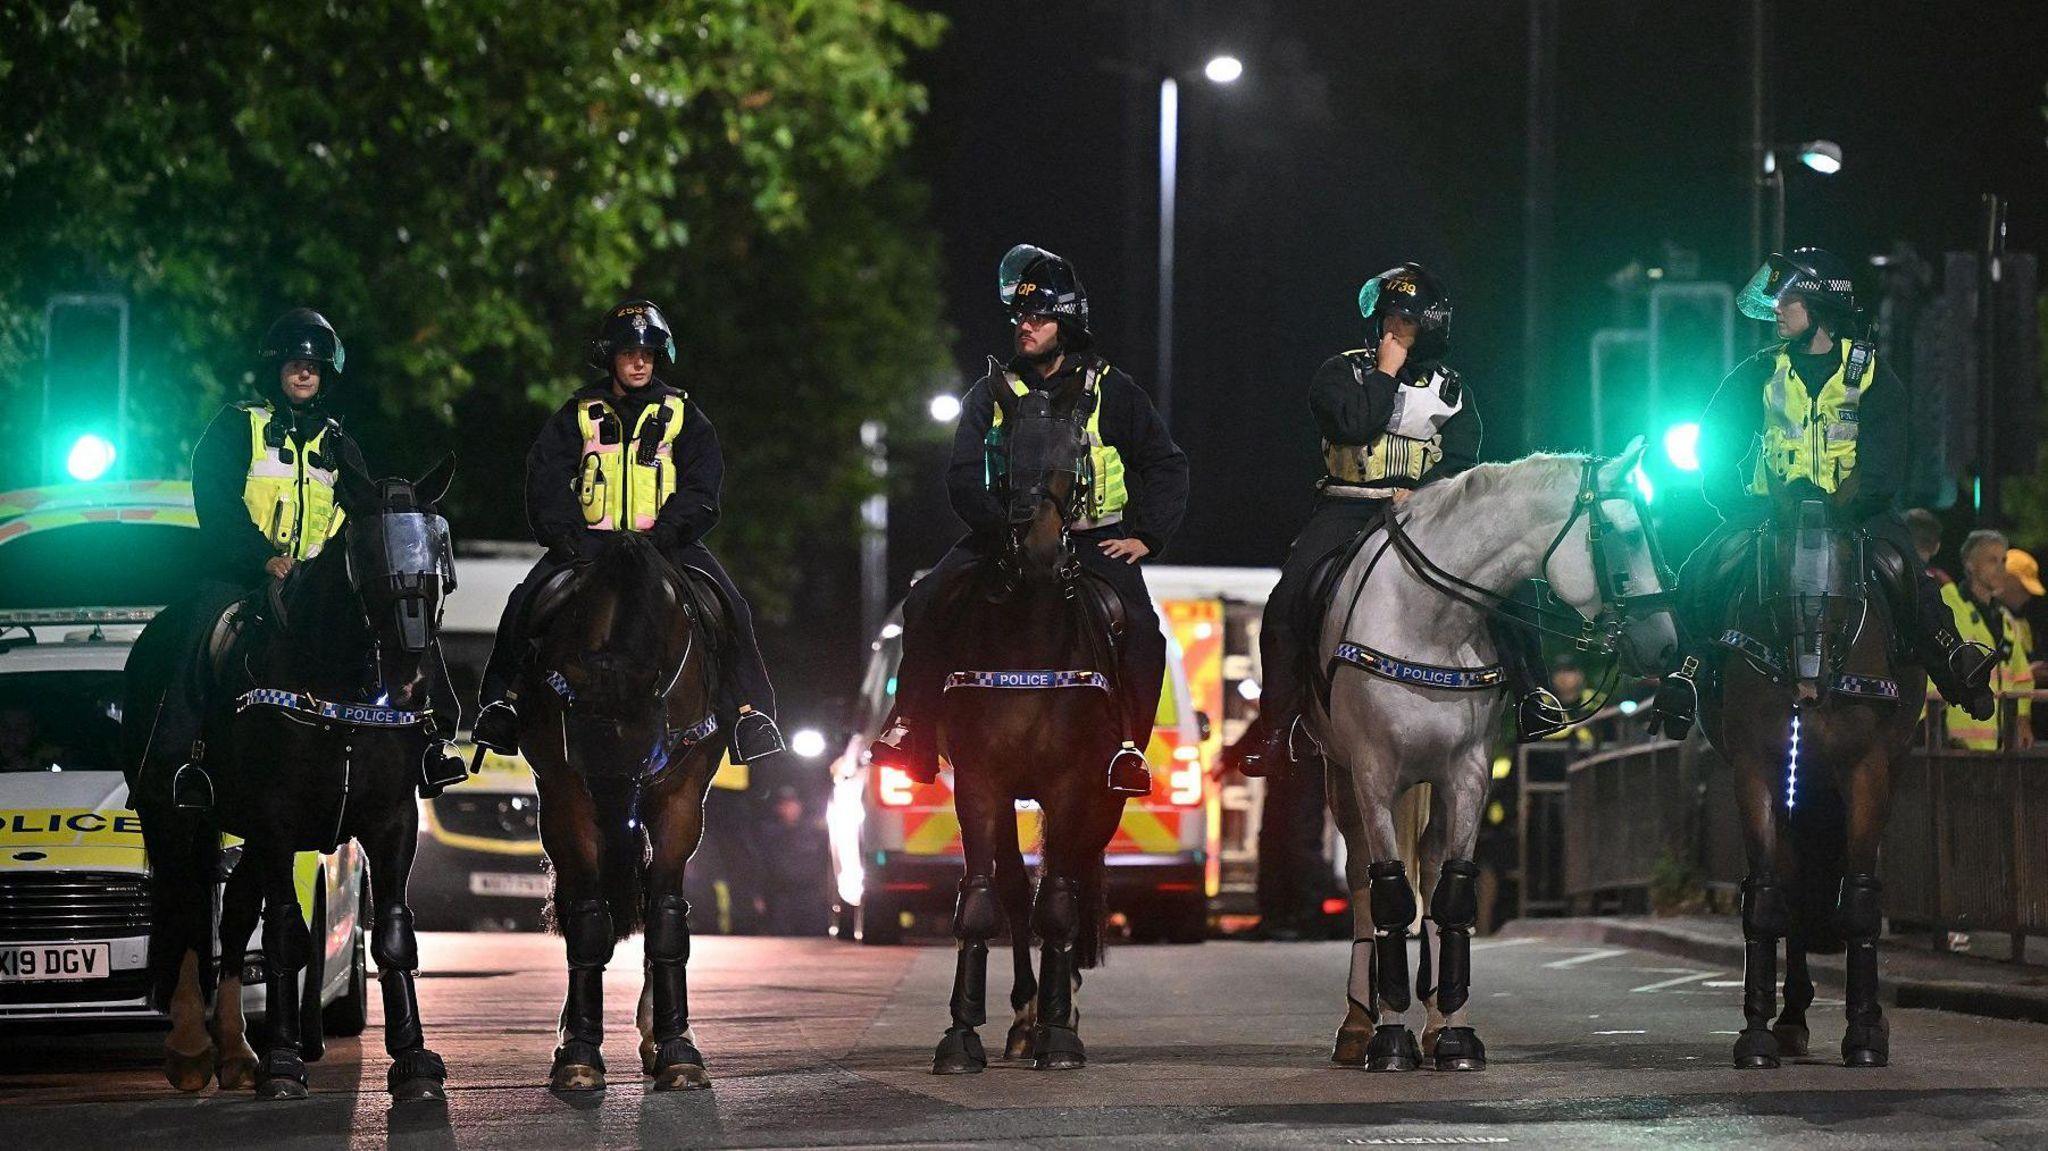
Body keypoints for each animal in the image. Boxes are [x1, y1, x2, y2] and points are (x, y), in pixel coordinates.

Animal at [123, 454, 460, 1089]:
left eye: (438, 555)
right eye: (367, 553)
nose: (412, 671)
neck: (340, 688)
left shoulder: (392, 820)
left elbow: (393, 935)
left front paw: (412, 1057)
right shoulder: (277, 823)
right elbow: (284, 935)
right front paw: (283, 1059)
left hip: (243, 835)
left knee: (231, 919)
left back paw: (235, 1049)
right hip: (172, 817)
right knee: (184, 909)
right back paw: (192, 1047)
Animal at [516, 528, 733, 1081]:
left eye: (644, 757)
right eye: (583, 758)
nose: (618, 833)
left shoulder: (679, 798)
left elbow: (665, 917)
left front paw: (676, 1045)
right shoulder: (567, 794)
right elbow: (590, 921)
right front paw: (578, 1049)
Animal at [917, 387, 1138, 1073]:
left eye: (1076, 449)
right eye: (1006, 450)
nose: (1038, 549)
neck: (1031, 637)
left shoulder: (1073, 785)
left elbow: (1060, 905)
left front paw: (1061, 1033)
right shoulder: (981, 783)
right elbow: (984, 898)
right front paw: (962, 1032)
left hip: (1104, 800)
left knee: (1068, 885)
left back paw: (1057, 1012)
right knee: (1018, 890)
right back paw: (1024, 1016)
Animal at [1310, 444, 1679, 1073]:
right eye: (1623, 532)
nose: (1667, 645)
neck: (1429, 620)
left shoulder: (1468, 776)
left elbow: (1453, 894)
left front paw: (1455, 1034)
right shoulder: (1374, 775)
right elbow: (1389, 898)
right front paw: (1390, 1037)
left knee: (1431, 871)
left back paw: (1433, 1019)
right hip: (1343, 779)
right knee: (1363, 887)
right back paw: (1360, 1025)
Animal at [1695, 493, 1916, 1064]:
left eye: (1839, 593)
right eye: (1777, 590)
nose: (1808, 690)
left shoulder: (1866, 771)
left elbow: (1859, 902)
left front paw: (1864, 1033)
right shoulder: (1757, 770)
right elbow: (1766, 901)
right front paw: (1756, 1036)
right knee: (1794, 895)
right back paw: (1791, 1019)